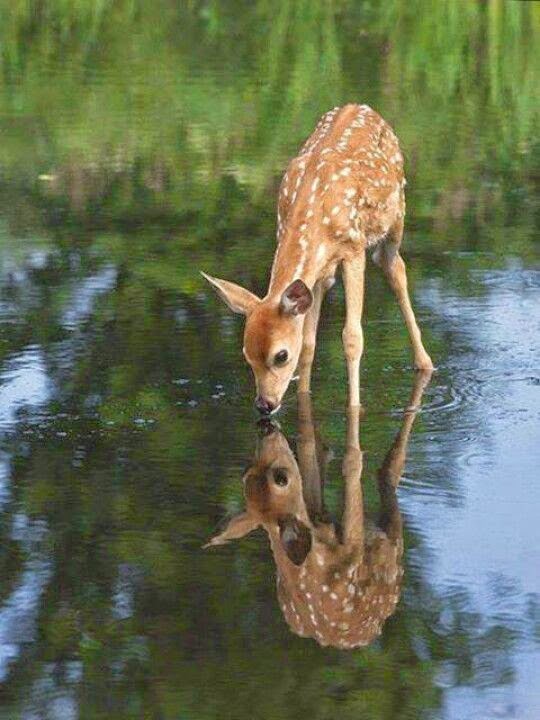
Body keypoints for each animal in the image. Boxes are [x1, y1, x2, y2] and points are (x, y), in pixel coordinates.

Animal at [202, 103, 433, 415]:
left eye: (281, 355)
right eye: (246, 354)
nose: (264, 405)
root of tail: (361, 105)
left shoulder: (353, 247)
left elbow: (352, 337)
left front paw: (354, 407)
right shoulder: (318, 267)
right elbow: (309, 343)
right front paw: (304, 396)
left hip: (396, 215)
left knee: (394, 267)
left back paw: (425, 363)